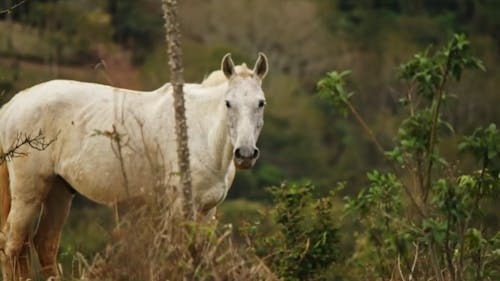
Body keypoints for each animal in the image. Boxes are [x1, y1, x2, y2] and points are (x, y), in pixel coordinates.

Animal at [0, 52, 270, 278]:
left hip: (60, 190)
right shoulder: (178, 208)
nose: (245, 154)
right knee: (11, 244)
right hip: (29, 194)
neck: (198, 131)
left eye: (261, 103)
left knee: (44, 244)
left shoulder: (207, 210)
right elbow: (179, 253)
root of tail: (13, 105)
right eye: (228, 103)